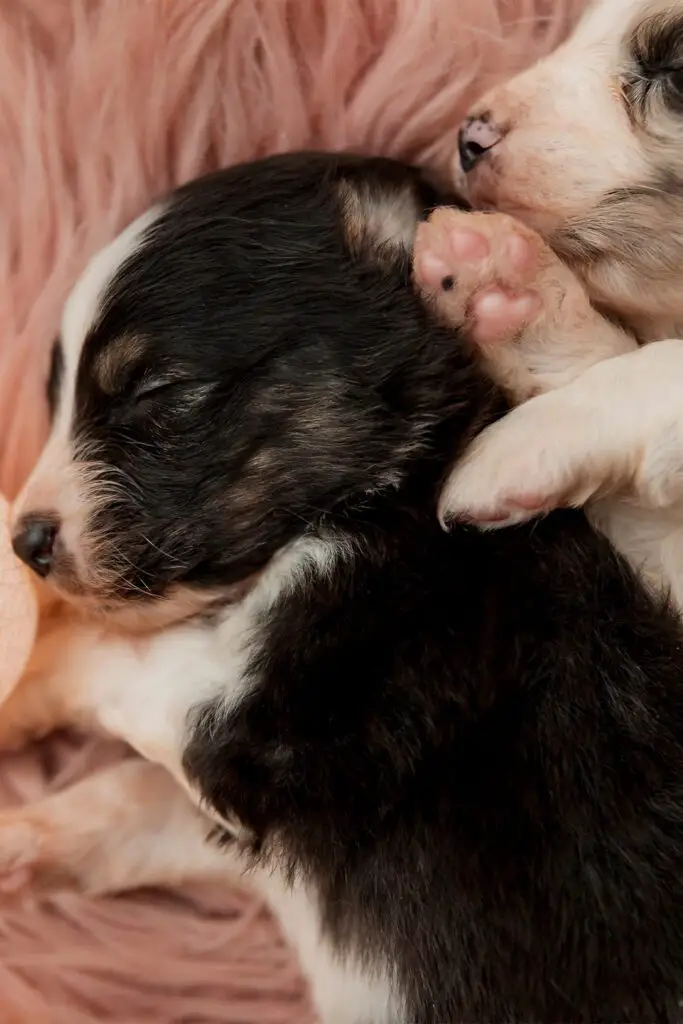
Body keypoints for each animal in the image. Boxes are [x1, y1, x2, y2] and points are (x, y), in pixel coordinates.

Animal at [6, 153, 683, 1024]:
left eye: (154, 393)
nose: (25, 541)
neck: (394, 486)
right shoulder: (280, 841)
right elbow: (136, 802)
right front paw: (21, 845)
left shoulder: (304, 713)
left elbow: (114, 658)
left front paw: (29, 674)